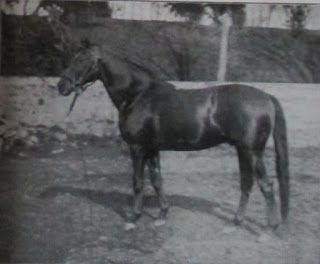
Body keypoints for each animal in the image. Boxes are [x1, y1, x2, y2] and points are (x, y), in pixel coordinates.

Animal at [58, 44, 290, 230]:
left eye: (82, 61)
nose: (62, 86)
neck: (138, 95)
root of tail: (266, 98)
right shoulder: (152, 148)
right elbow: (156, 180)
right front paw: (162, 214)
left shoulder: (137, 148)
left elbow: (138, 182)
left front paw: (133, 217)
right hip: (243, 151)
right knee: (247, 184)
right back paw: (236, 222)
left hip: (252, 152)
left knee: (266, 185)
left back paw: (270, 228)